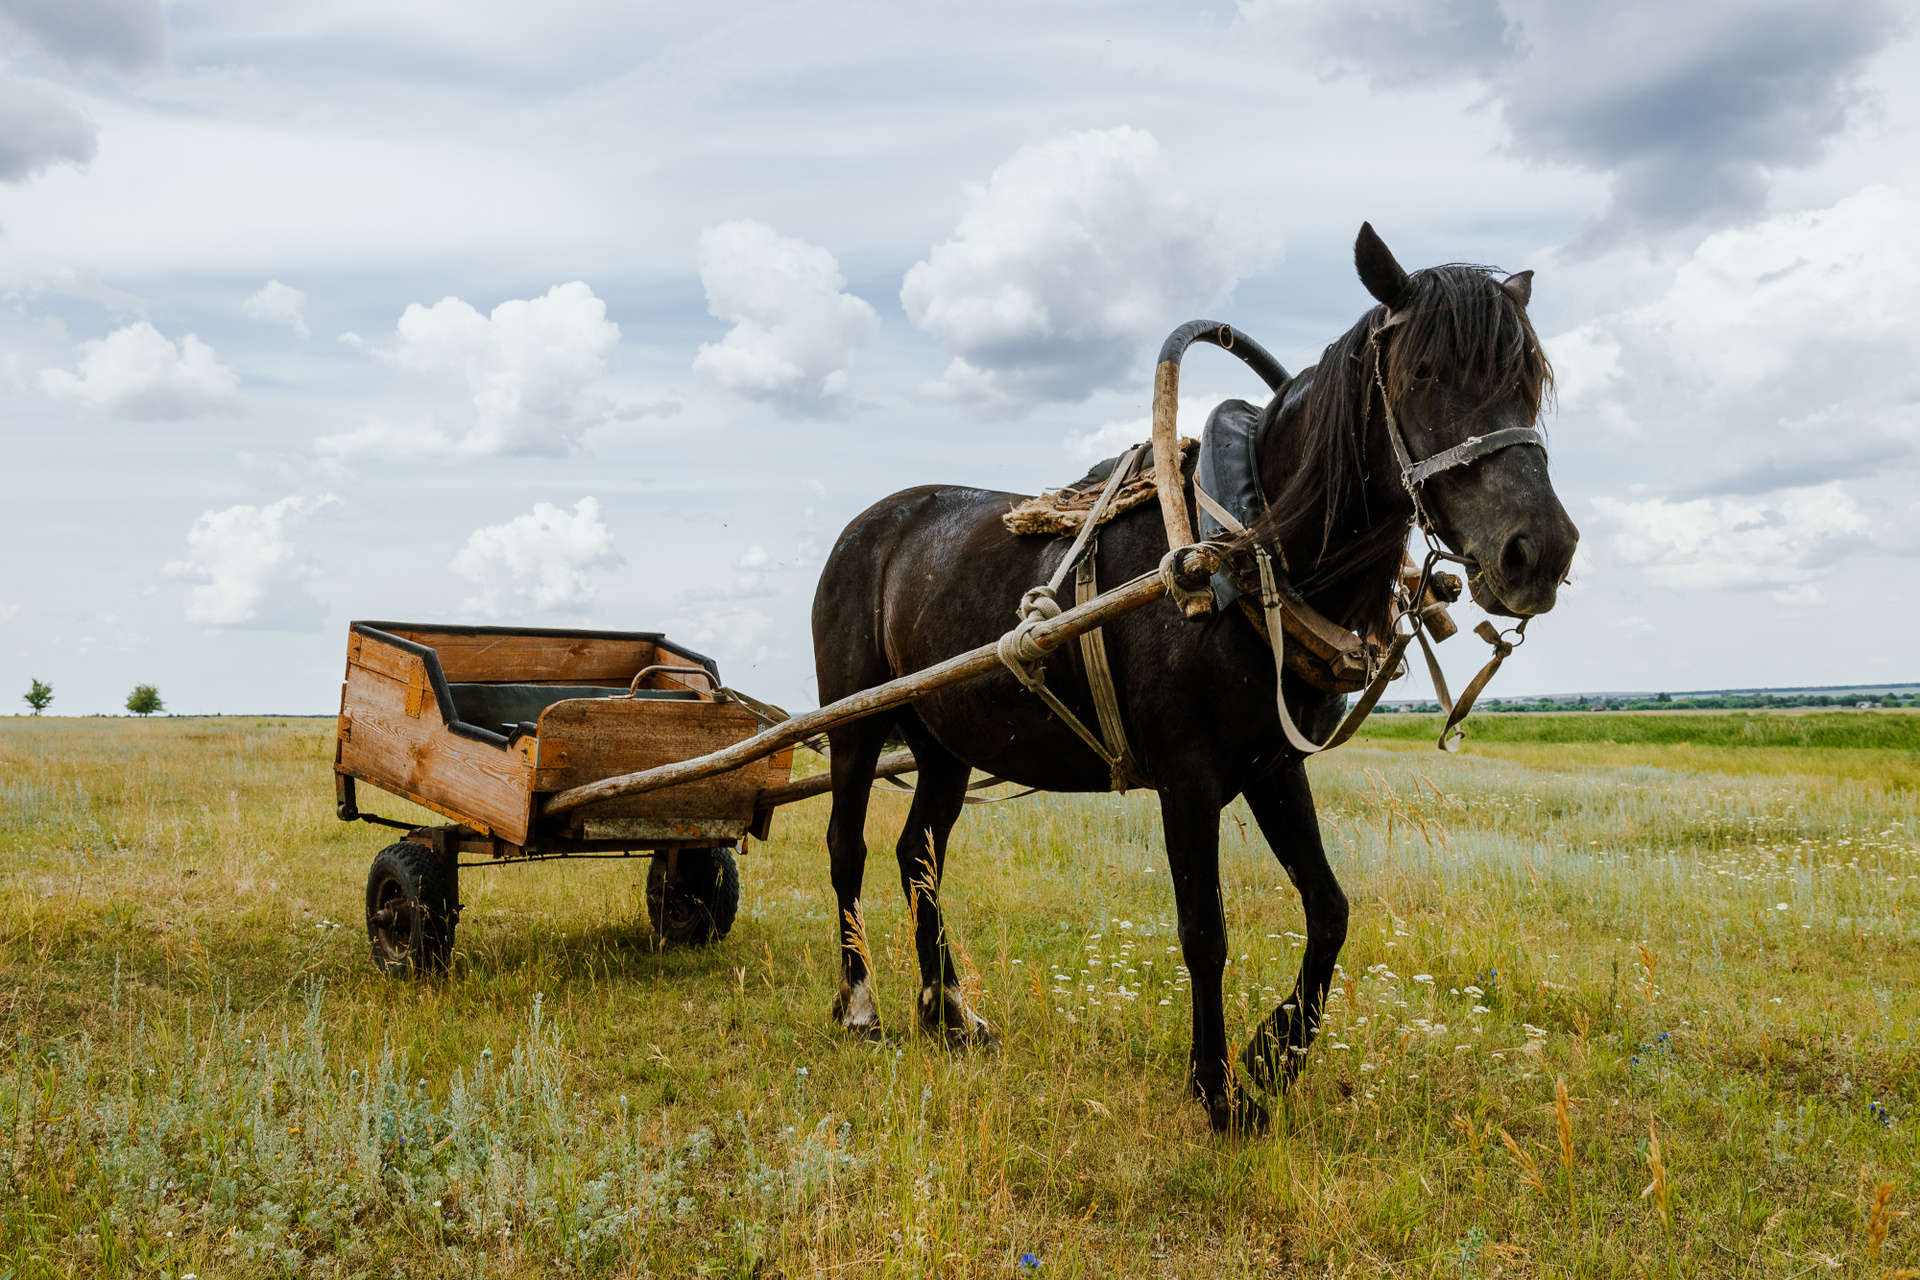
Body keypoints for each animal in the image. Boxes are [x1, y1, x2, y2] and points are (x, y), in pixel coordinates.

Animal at [810, 223, 1579, 1132]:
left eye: (1529, 381)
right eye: (1424, 373)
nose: (1539, 552)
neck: (1248, 550)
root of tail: (871, 527)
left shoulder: (1273, 766)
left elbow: (1329, 910)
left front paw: (1274, 1052)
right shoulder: (1188, 777)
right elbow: (1204, 932)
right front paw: (1217, 1090)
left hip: (944, 743)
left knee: (917, 854)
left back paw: (951, 1013)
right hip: (855, 723)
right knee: (848, 848)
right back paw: (863, 1006)